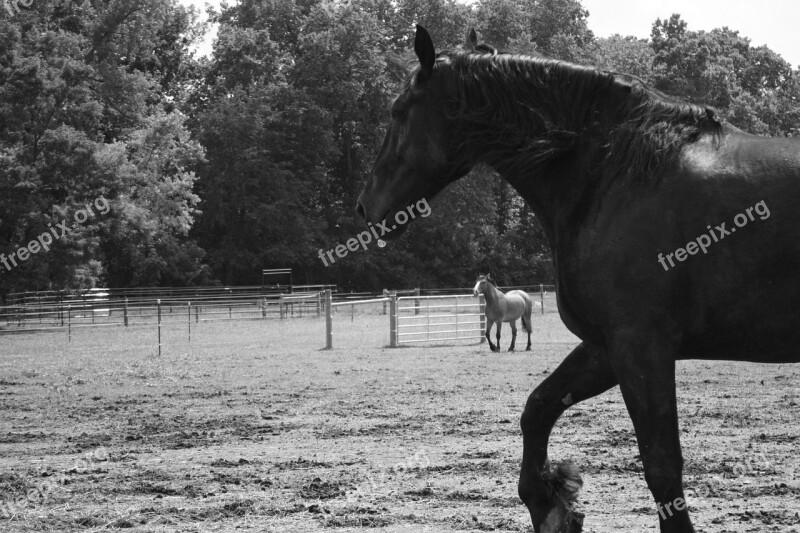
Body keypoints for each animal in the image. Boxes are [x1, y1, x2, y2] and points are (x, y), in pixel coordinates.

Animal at [358, 26, 800, 532]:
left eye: (398, 110)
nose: (365, 208)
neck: (612, 175)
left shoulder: (640, 348)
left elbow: (662, 466)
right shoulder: (605, 348)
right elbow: (537, 408)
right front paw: (552, 502)